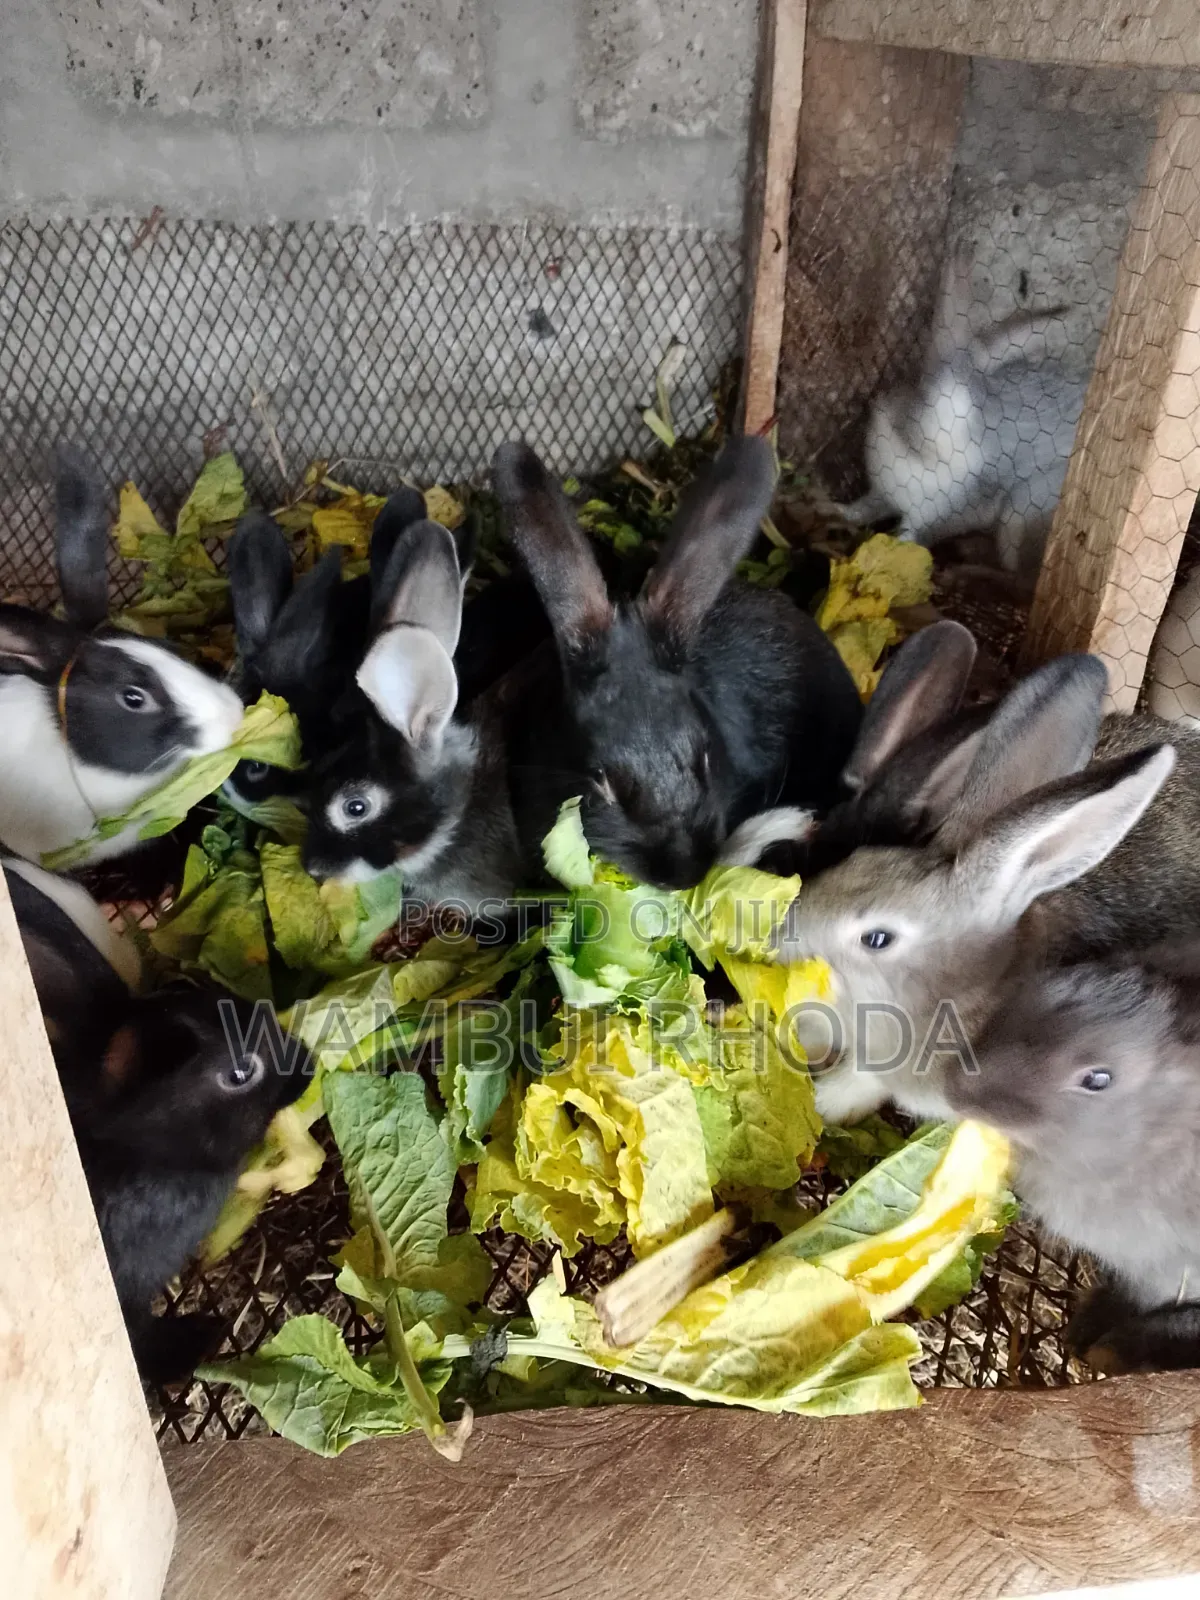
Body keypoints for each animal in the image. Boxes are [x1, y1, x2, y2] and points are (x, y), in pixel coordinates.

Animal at [836, 254, 1085, 578]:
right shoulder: (883, 492)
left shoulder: (930, 518)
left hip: (1019, 516)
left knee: (1020, 579)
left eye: (972, 408)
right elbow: (862, 510)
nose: (925, 439)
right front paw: (833, 509)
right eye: (923, 383)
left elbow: (907, 539)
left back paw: (965, 570)